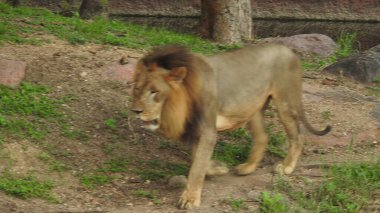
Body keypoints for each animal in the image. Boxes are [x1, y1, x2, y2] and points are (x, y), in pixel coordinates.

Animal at [130, 44, 330, 209]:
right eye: (138, 89)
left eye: (155, 91)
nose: (136, 111)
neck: (180, 103)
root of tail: (290, 51)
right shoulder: (196, 130)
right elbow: (198, 159)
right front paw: (218, 169)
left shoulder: (207, 130)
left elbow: (197, 167)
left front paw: (190, 199)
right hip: (253, 109)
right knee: (263, 137)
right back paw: (248, 167)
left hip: (286, 103)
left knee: (298, 136)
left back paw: (286, 166)